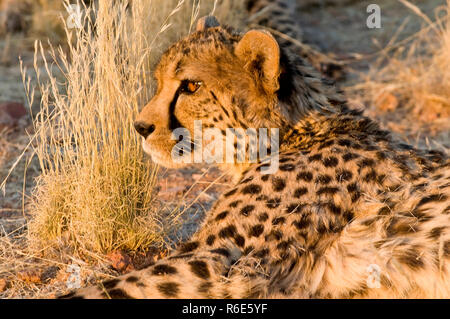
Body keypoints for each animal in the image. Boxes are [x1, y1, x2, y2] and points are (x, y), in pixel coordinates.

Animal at [62, 14, 450, 300]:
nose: (141, 127)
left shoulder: (216, 267)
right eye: (159, 82)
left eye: (190, 86)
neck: (293, 134)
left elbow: (102, 290)